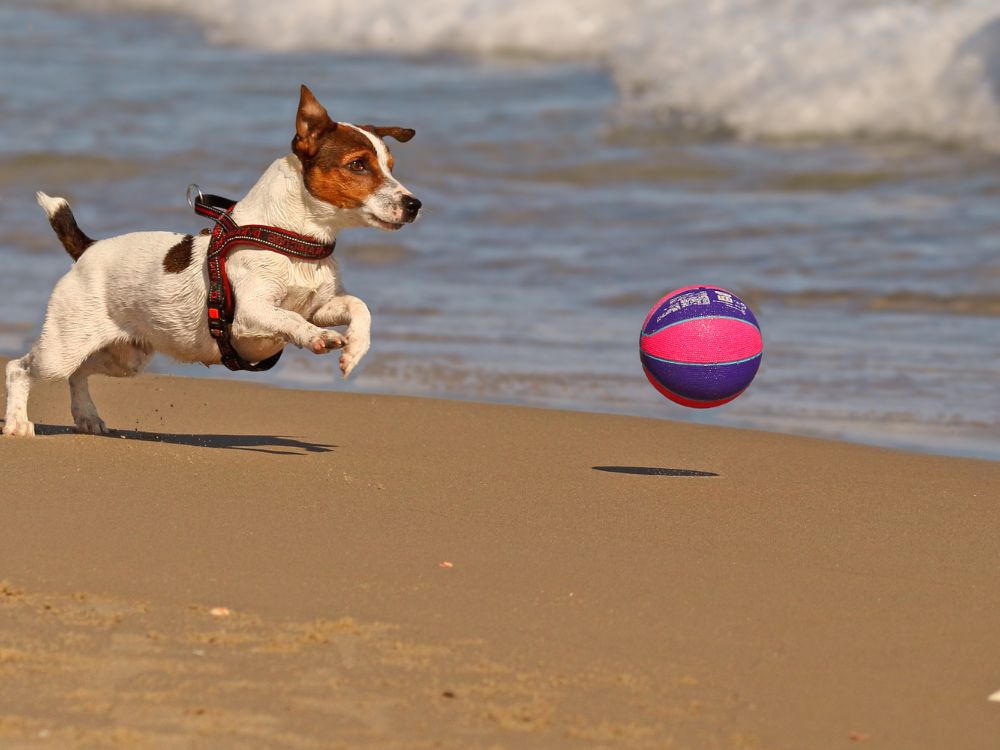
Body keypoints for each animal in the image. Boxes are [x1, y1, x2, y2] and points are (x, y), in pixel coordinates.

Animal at [1, 85, 420, 438]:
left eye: (391, 166)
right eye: (358, 165)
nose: (414, 204)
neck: (293, 241)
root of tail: (87, 249)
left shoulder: (321, 305)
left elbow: (359, 307)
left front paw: (355, 350)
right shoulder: (251, 312)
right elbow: (291, 319)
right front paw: (316, 338)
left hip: (126, 358)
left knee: (78, 374)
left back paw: (87, 416)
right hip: (62, 347)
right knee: (20, 369)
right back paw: (19, 424)